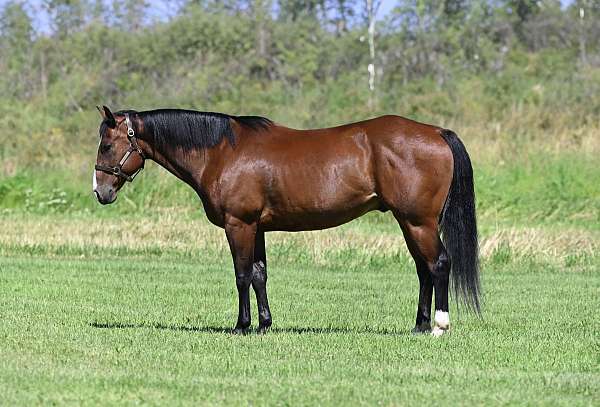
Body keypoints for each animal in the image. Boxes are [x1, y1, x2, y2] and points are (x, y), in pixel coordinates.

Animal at [92, 106, 478, 338]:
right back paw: (419, 325)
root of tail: (437, 132)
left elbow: (242, 275)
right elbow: (259, 276)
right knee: (423, 269)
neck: (222, 152)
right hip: (408, 222)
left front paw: (242, 326)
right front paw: (264, 325)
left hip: (418, 221)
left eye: (107, 146)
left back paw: (439, 326)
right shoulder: (257, 228)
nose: (100, 191)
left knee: (439, 264)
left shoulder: (240, 225)